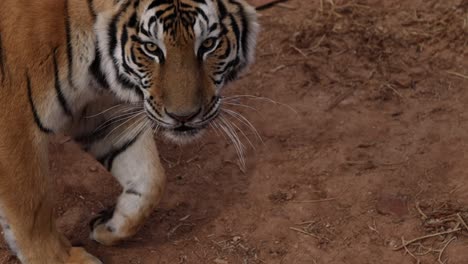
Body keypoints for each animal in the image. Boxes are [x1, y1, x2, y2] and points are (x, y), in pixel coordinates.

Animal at [0, 0, 258, 262]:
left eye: (208, 44)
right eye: (151, 48)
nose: (184, 117)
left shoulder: (99, 112)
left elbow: (151, 177)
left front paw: (108, 227)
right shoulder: (14, 125)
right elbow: (31, 208)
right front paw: (60, 258)